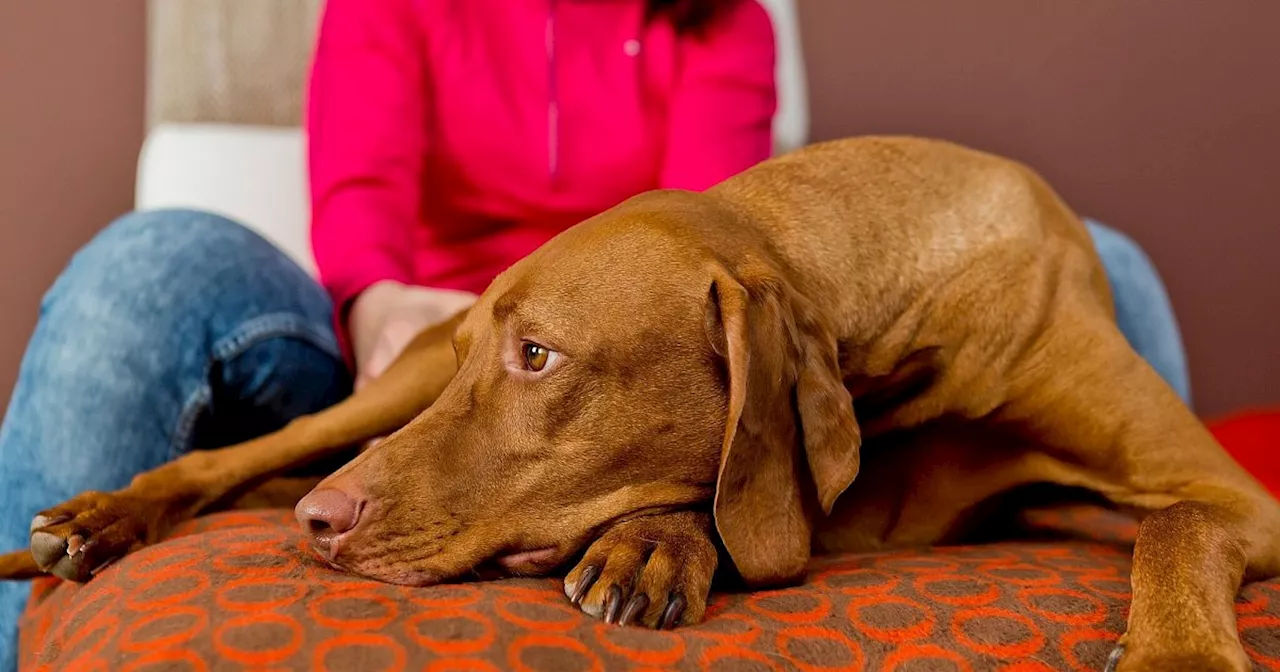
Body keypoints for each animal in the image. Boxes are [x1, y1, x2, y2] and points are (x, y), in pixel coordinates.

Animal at [5, 133, 1274, 665]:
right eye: (501, 348)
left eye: (536, 357)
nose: (325, 527)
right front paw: (655, 542)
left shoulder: (1223, 495)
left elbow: (1175, 517)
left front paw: (1176, 657)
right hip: (394, 383)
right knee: (243, 461)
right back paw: (104, 518)